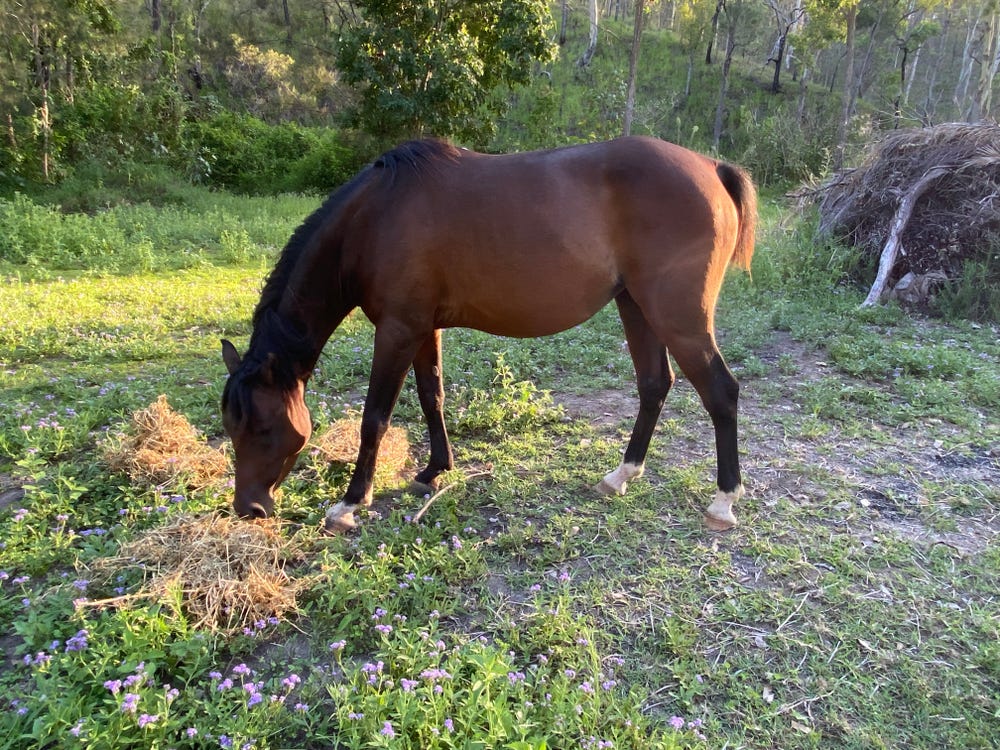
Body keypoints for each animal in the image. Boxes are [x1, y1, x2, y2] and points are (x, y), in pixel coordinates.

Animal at [220, 136, 757, 533]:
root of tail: (712, 167)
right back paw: (621, 475)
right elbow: (432, 396)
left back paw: (723, 501)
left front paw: (350, 503)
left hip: (677, 317)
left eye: (262, 427)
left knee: (720, 392)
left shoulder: (396, 331)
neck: (372, 219)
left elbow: (375, 418)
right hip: (637, 307)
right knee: (654, 385)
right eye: (231, 426)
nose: (249, 508)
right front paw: (435, 470)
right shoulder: (422, 329)